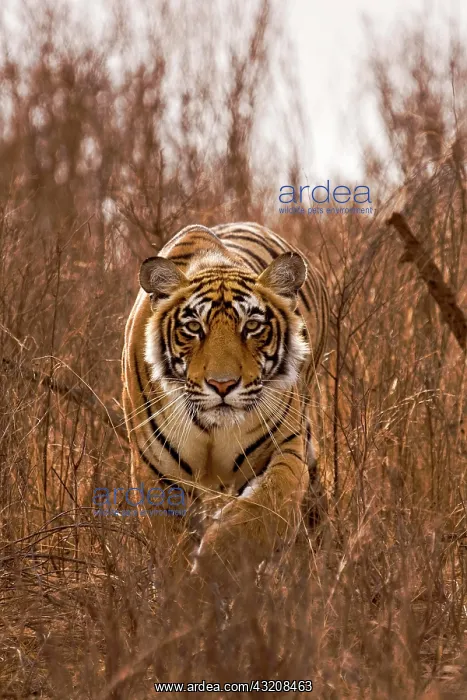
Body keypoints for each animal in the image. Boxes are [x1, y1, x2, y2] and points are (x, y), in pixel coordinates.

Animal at [122, 222, 329, 575]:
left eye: (252, 326)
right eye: (193, 327)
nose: (222, 385)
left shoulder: (286, 447)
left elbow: (262, 510)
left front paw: (216, 569)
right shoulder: (155, 471)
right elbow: (171, 548)